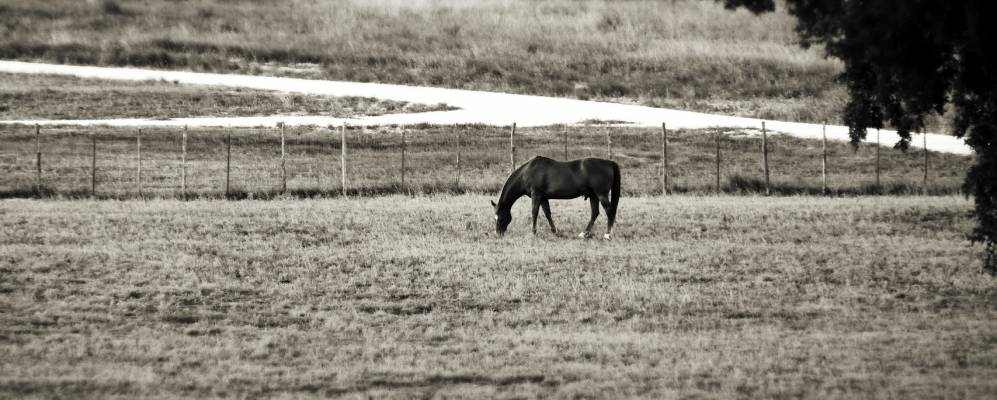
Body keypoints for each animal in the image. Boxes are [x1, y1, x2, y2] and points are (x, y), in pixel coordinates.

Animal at [488, 156, 620, 238]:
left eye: (500, 218)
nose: (498, 234)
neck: (527, 172)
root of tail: (609, 162)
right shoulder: (543, 198)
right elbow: (547, 213)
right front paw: (555, 231)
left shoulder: (536, 195)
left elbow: (534, 212)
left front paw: (533, 232)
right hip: (593, 195)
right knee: (595, 213)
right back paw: (584, 234)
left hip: (601, 194)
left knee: (609, 211)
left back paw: (607, 234)